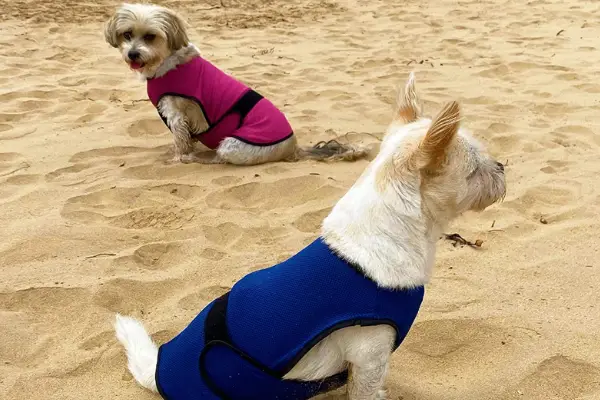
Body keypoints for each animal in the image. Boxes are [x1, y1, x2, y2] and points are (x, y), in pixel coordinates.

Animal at [103, 2, 366, 164]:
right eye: (127, 34)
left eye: (150, 36)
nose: (133, 54)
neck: (168, 61)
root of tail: (293, 147)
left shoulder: (176, 114)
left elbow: (180, 142)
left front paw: (178, 158)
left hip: (230, 143)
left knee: (220, 159)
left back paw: (200, 160)